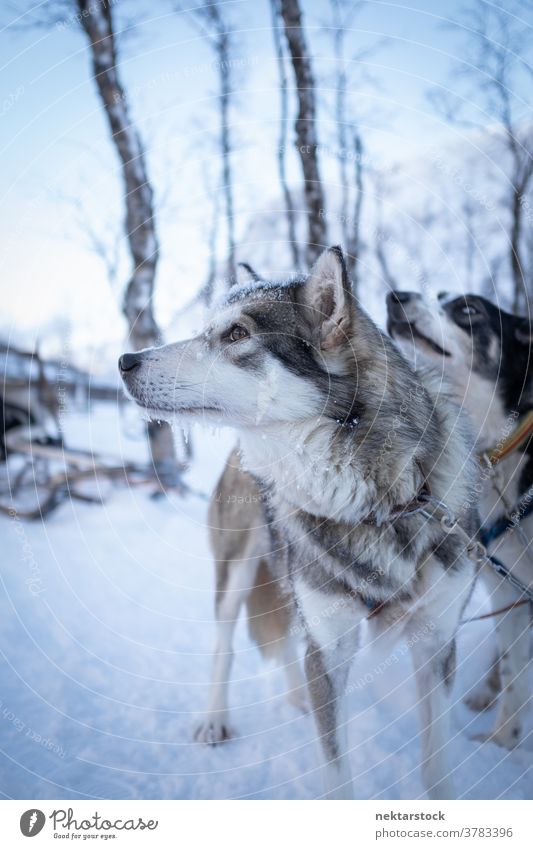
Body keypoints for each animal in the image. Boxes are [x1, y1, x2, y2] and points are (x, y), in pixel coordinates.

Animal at [120, 248, 478, 800]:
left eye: (236, 334)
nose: (124, 361)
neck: (378, 504)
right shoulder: (328, 650)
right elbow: (337, 776)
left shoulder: (436, 640)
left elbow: (436, 769)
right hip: (237, 573)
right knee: (227, 644)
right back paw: (215, 718)